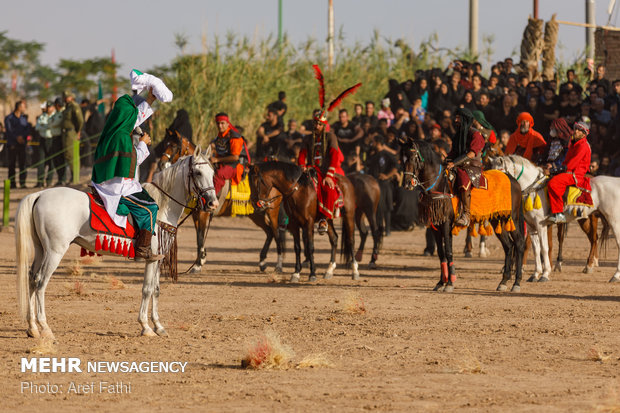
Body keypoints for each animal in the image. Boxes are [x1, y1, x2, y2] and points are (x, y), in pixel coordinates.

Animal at [15, 146, 219, 340]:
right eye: (198, 173)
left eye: (212, 173)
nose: (213, 204)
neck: (162, 206)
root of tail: (40, 194)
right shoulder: (151, 259)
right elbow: (147, 289)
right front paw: (145, 327)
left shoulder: (158, 259)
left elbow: (156, 290)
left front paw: (159, 326)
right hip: (55, 252)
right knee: (41, 282)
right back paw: (45, 328)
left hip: (41, 249)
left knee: (32, 279)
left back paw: (32, 328)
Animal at [400, 138, 524, 290]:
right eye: (402, 158)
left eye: (412, 157)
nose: (407, 183)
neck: (439, 184)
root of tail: (514, 181)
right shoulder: (435, 226)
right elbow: (441, 253)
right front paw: (441, 282)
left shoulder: (446, 223)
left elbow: (448, 251)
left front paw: (450, 282)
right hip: (497, 220)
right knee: (508, 246)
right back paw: (504, 281)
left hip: (512, 217)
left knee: (519, 244)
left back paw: (517, 282)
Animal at [490, 154, 620, 284]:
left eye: (500, 170)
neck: (534, 189)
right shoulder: (532, 227)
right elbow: (536, 249)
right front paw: (535, 274)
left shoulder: (541, 225)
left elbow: (544, 248)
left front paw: (545, 274)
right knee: (594, 239)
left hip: (612, 220)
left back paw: (615, 275)